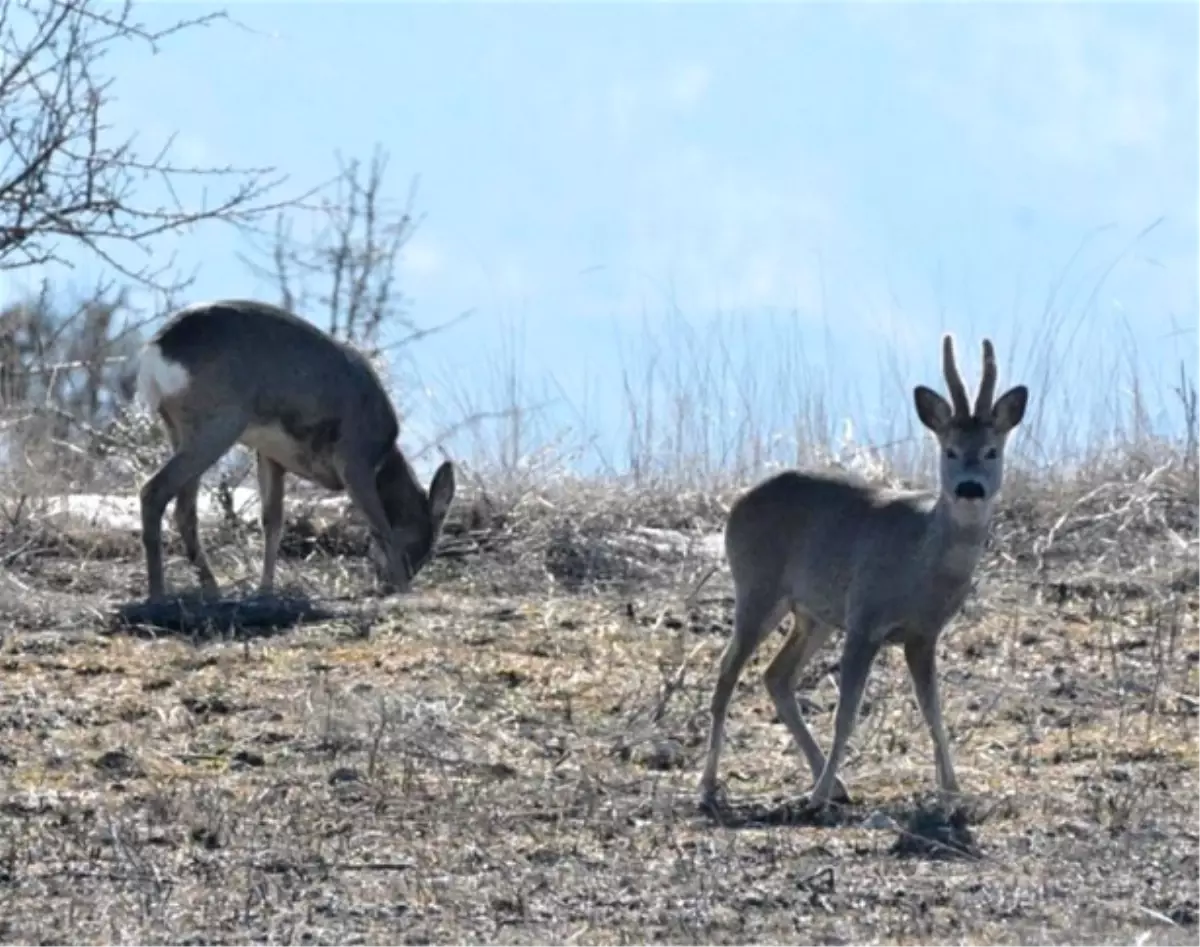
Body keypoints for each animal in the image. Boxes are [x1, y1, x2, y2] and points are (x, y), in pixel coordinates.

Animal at [133, 298, 456, 602]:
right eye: (424, 546)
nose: (388, 582)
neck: (383, 458)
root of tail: (156, 349)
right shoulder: (354, 458)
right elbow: (381, 526)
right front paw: (405, 591)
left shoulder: (270, 454)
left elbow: (272, 522)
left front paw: (265, 590)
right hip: (219, 423)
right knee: (154, 491)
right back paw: (157, 594)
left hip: (178, 429)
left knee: (184, 509)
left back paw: (211, 590)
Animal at [700, 331, 1027, 806]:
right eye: (949, 450)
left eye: (991, 450)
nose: (970, 488)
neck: (920, 564)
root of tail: (738, 504)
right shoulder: (864, 619)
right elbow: (847, 714)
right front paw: (816, 797)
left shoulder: (923, 635)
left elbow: (933, 710)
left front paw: (952, 787)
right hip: (757, 587)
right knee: (727, 672)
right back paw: (710, 785)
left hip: (813, 614)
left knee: (776, 675)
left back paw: (832, 783)